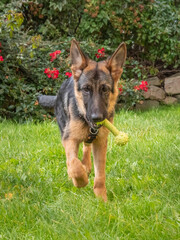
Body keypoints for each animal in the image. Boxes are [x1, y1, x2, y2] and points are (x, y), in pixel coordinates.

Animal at [53, 40, 126, 202]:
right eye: (86, 89)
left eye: (105, 89)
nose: (96, 118)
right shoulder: (69, 139)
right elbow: (73, 163)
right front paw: (80, 181)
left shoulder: (101, 143)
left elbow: (100, 176)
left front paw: (102, 200)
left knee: (86, 146)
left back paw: (86, 165)